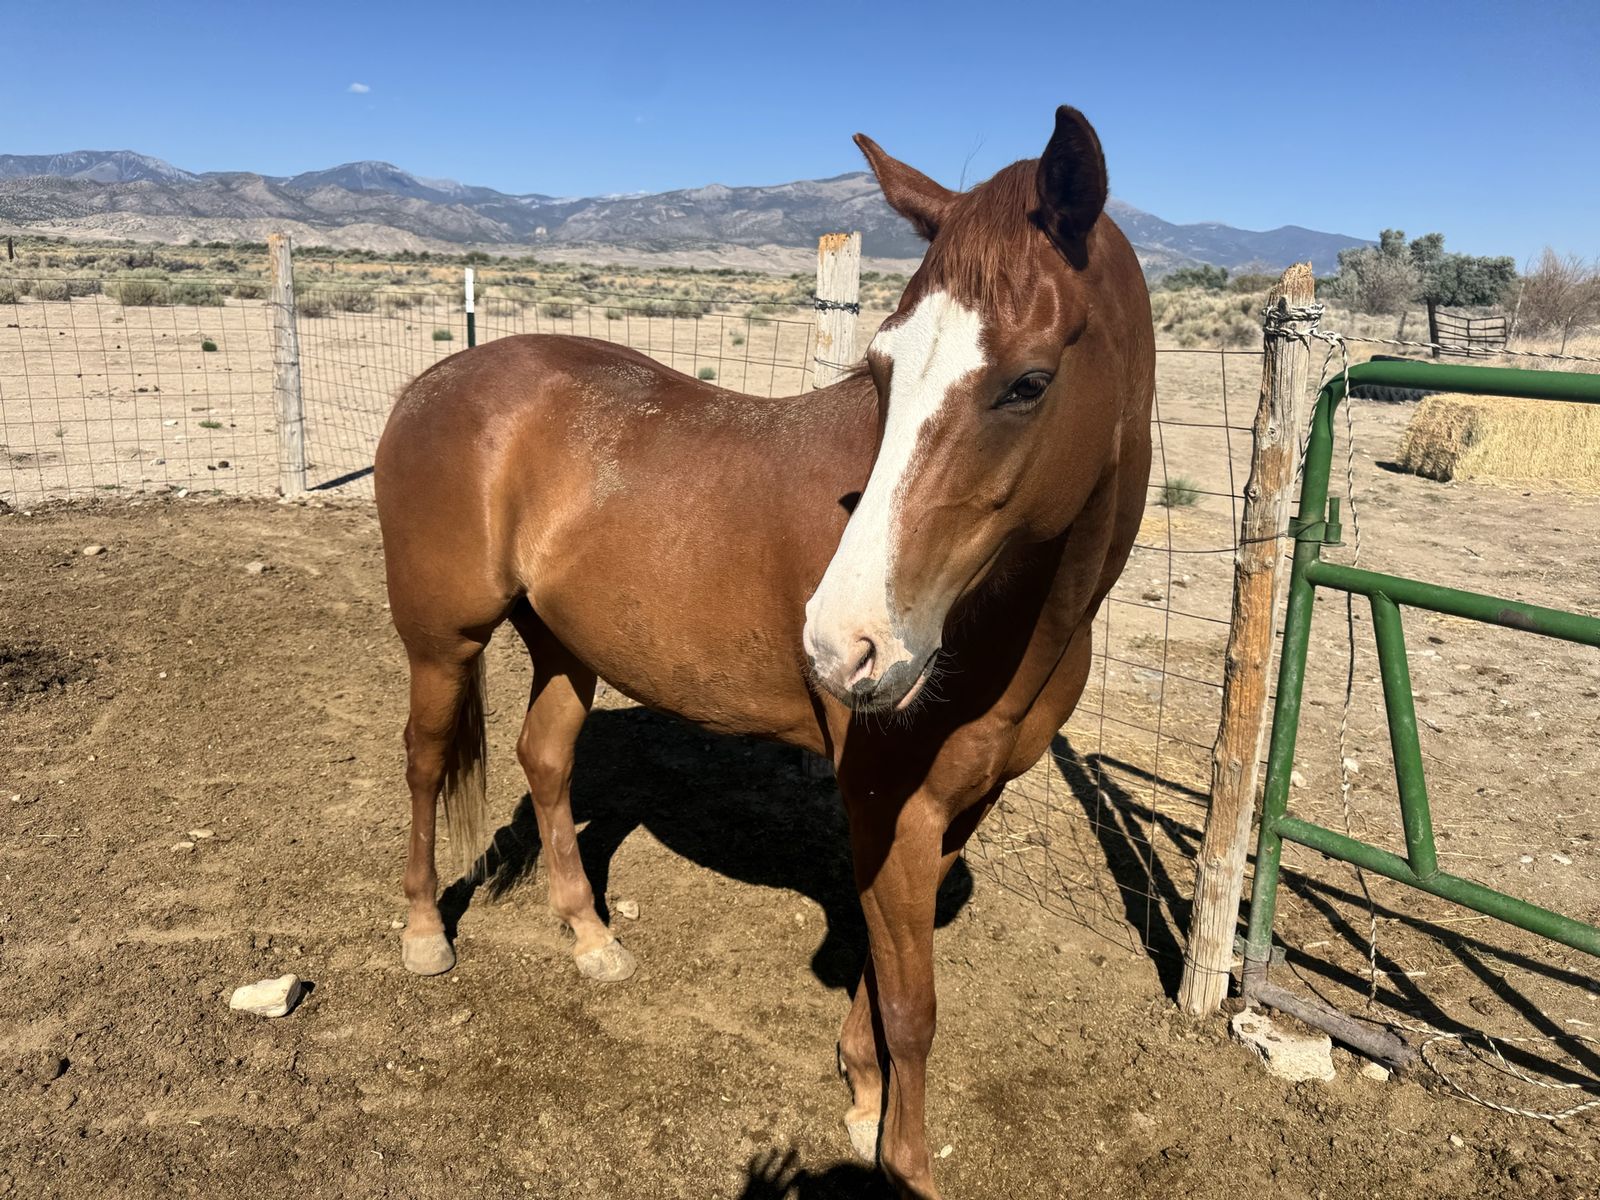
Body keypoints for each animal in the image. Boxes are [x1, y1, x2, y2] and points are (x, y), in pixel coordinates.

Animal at [373, 105, 1153, 1199]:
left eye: (1028, 383)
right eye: (881, 369)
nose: (841, 645)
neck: (1011, 615)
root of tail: (436, 380)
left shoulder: (958, 803)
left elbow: (885, 963)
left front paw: (860, 1089)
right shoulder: (886, 799)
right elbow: (914, 1006)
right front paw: (901, 1161)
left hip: (565, 642)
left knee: (546, 759)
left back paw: (591, 938)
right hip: (442, 642)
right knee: (424, 759)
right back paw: (421, 933)